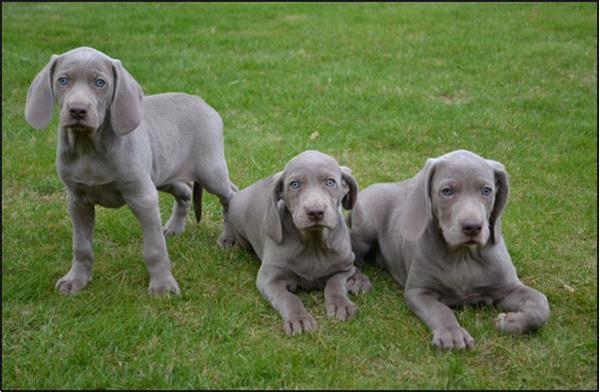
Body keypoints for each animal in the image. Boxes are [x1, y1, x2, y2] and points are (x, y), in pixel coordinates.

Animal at [25, 47, 237, 296]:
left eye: (100, 83)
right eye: (63, 80)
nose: (77, 110)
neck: (89, 148)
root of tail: (203, 102)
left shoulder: (143, 198)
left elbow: (154, 248)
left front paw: (163, 286)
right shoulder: (77, 202)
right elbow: (81, 246)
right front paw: (76, 280)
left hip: (210, 171)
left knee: (231, 194)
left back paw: (229, 237)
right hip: (162, 175)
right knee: (184, 191)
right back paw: (174, 228)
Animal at [220, 152, 360, 336]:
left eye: (330, 182)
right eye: (294, 184)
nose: (315, 212)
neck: (313, 244)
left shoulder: (346, 267)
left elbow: (335, 283)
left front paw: (340, 304)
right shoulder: (268, 278)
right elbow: (288, 297)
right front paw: (298, 318)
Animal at [350, 149, 552, 350]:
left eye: (486, 191)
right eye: (447, 191)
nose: (472, 227)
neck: (463, 256)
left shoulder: (508, 288)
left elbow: (541, 304)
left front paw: (511, 322)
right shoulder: (419, 291)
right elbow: (441, 310)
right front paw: (452, 334)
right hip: (364, 228)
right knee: (354, 258)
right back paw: (358, 280)